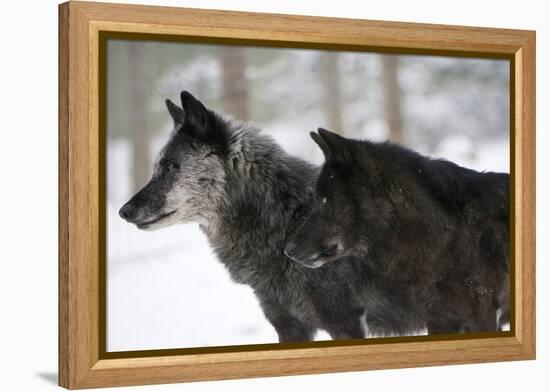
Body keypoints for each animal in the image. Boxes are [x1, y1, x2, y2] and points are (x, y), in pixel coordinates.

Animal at [119, 92, 384, 344]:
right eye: (157, 167)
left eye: (172, 166)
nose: (123, 211)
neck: (286, 220)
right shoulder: (288, 326)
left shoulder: (344, 322)